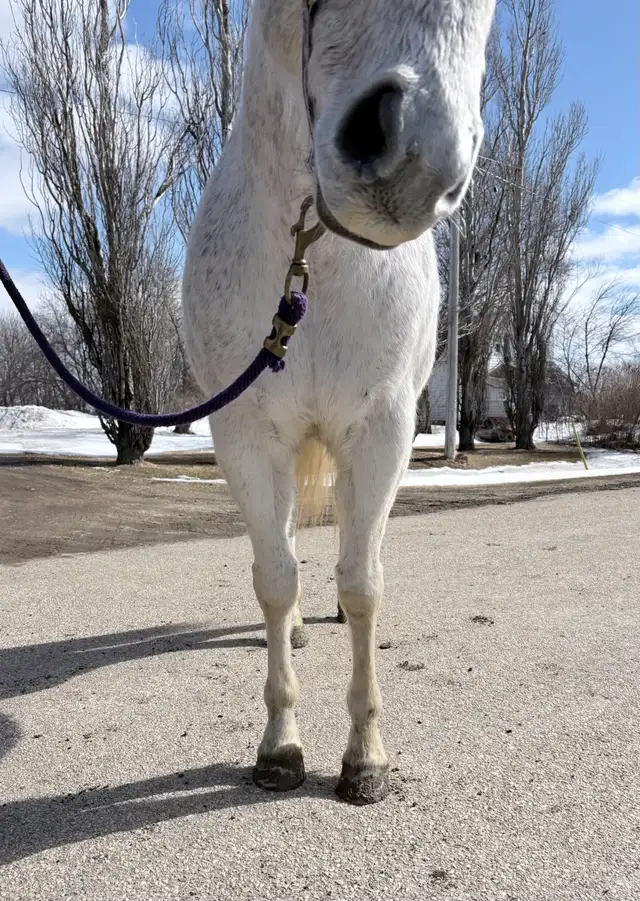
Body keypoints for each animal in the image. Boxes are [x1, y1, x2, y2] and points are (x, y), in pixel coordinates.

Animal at [182, 0, 496, 805]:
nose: (413, 159)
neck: (313, 262)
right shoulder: (246, 436)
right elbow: (273, 576)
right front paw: (281, 748)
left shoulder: (381, 433)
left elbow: (361, 585)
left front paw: (366, 759)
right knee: (288, 548)